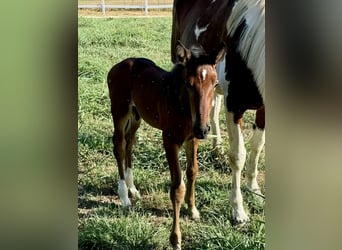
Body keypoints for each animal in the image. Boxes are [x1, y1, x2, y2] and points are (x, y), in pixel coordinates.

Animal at [107, 41, 224, 250]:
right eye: (188, 84)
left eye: (215, 83)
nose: (204, 129)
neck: (183, 108)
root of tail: (119, 65)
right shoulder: (169, 140)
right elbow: (177, 188)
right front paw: (176, 239)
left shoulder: (192, 138)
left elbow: (192, 171)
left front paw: (193, 210)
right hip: (120, 111)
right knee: (119, 145)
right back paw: (124, 196)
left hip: (136, 115)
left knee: (130, 143)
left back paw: (133, 189)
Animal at [172, 0, 266, 224]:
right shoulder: (234, 106)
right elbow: (238, 155)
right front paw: (238, 210)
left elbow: (257, 145)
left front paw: (254, 189)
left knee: (212, 111)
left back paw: (217, 147)